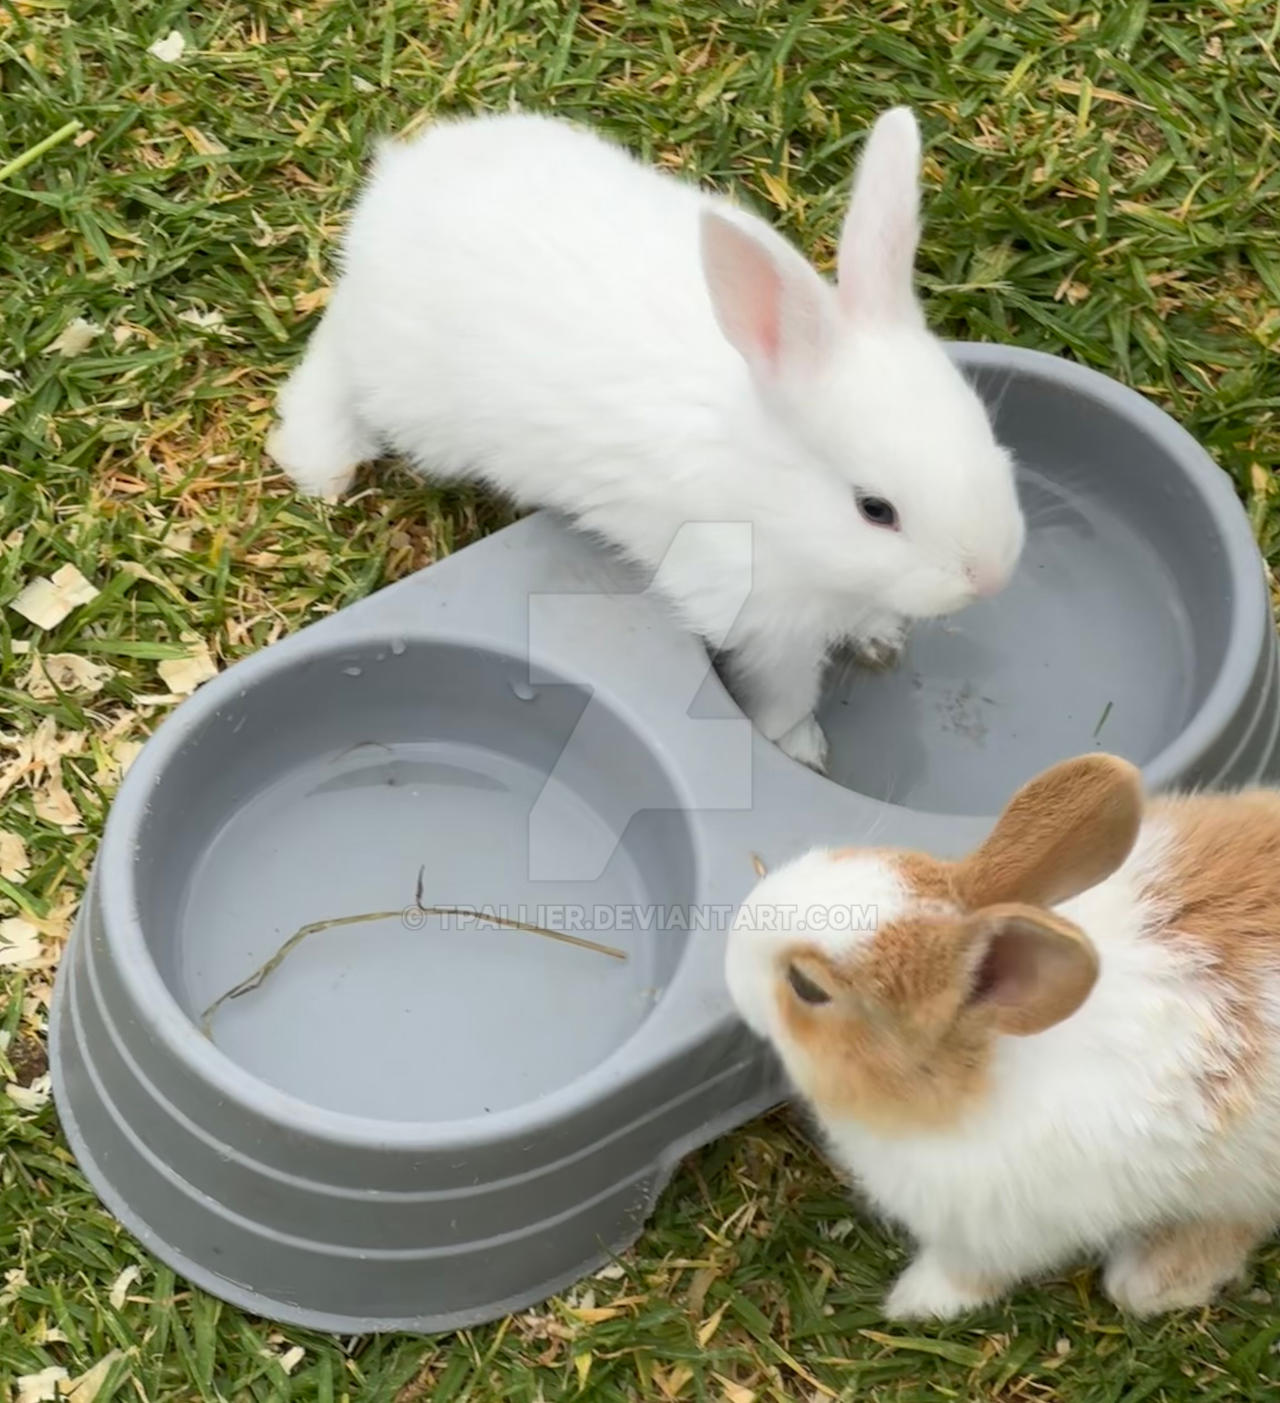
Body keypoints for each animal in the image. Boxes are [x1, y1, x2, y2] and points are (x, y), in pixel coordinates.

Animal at [266, 107, 1025, 772]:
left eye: (988, 433)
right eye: (875, 509)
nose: (991, 577)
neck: (766, 486)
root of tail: (395, 189)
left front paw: (879, 639)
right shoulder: (759, 620)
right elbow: (783, 692)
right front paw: (801, 750)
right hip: (407, 393)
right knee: (335, 358)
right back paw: (322, 465)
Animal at [726, 752, 1280, 1319]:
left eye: (807, 987)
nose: (730, 950)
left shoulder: (1005, 1230)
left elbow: (968, 1273)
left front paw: (912, 1303)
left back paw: (1149, 1284)